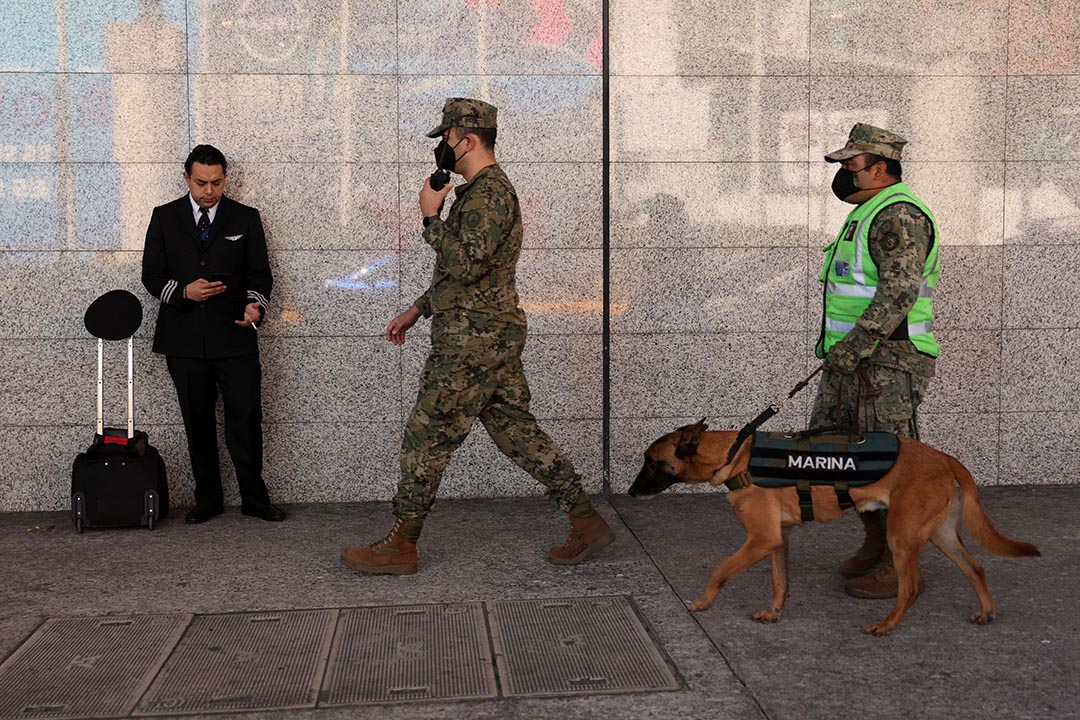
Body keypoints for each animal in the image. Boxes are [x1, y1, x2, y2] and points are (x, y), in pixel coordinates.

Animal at [630, 423, 1041, 634]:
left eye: (651, 462)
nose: (631, 493)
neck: (733, 455)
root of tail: (944, 458)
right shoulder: (778, 540)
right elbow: (780, 581)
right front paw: (774, 613)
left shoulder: (760, 539)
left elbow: (720, 570)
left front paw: (702, 602)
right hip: (940, 535)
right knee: (975, 567)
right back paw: (986, 611)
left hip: (902, 536)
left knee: (909, 589)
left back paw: (887, 625)